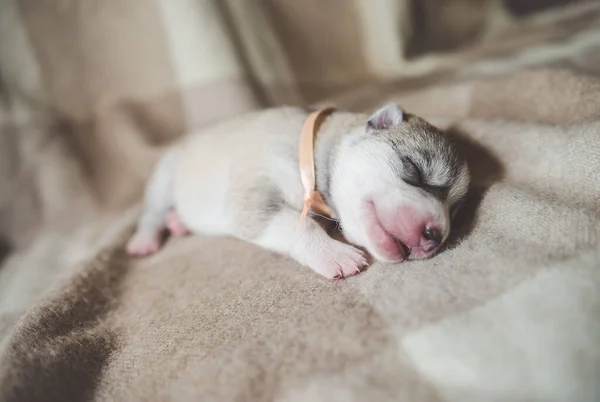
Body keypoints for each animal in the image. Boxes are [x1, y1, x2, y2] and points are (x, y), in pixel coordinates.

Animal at [126, 103, 472, 280]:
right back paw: (145, 240)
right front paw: (335, 254)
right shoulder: (255, 190)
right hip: (164, 177)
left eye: (454, 211)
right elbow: (300, 224)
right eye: (414, 170)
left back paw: (178, 224)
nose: (435, 235)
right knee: (151, 213)